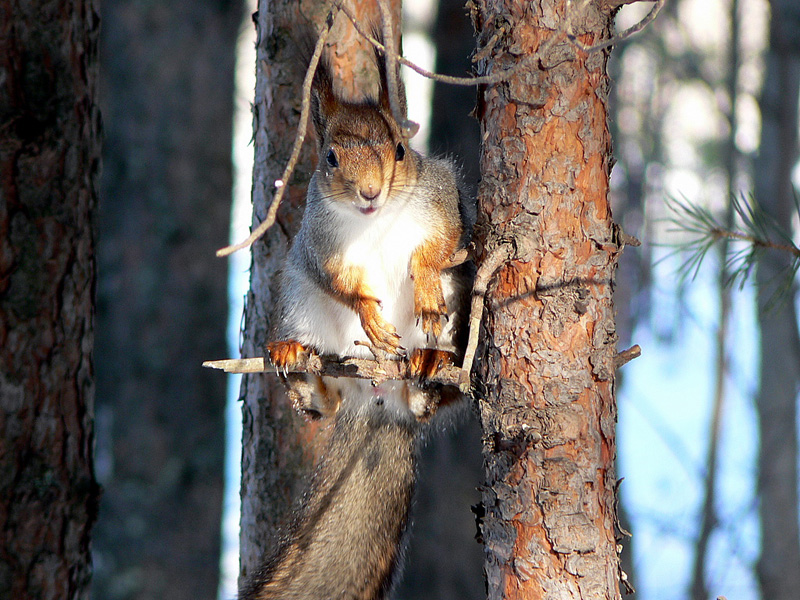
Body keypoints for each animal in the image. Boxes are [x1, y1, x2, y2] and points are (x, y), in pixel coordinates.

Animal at [241, 39, 472, 600]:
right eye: (330, 156)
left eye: (400, 150)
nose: (370, 193)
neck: (376, 221)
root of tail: (379, 397)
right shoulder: (319, 244)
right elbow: (342, 283)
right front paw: (370, 315)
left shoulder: (442, 200)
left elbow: (438, 248)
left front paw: (424, 284)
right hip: (299, 299)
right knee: (323, 402)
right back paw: (298, 364)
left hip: (458, 317)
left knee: (438, 393)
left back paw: (429, 369)